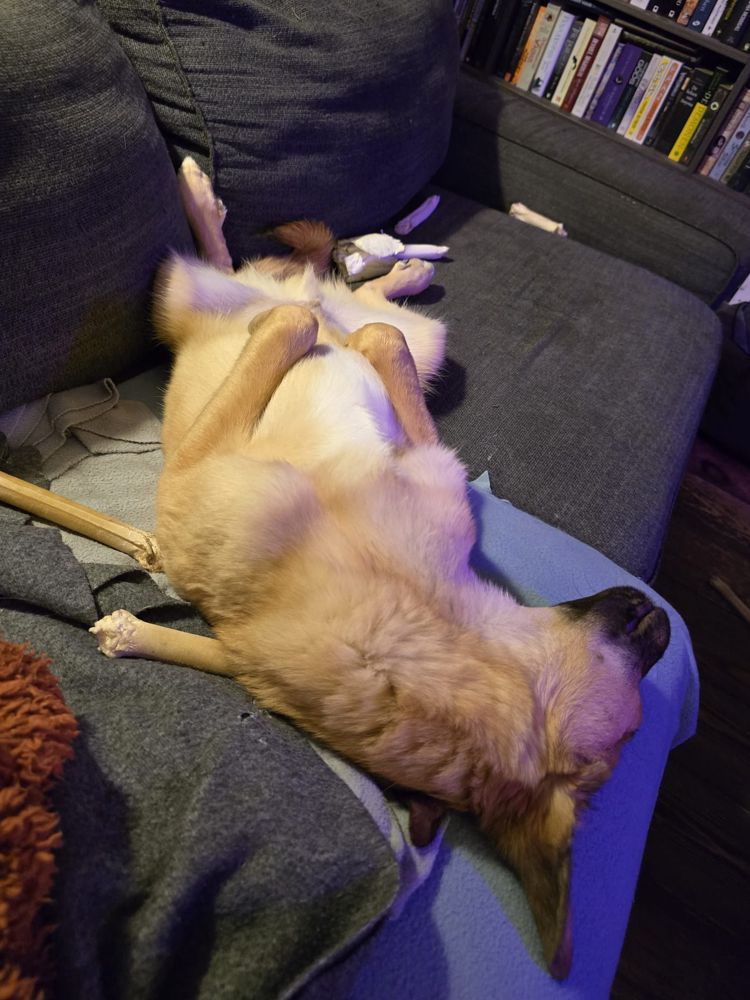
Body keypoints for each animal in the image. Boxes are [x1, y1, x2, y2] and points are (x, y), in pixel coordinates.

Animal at [149, 159, 670, 979]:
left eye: (636, 720)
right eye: (640, 684)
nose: (664, 618)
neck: (427, 629)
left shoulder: (194, 472)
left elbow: (327, 335)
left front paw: (317, 328)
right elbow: (354, 335)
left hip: (197, 297)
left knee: (298, 297)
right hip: (398, 335)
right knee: (335, 296)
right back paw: (383, 267)